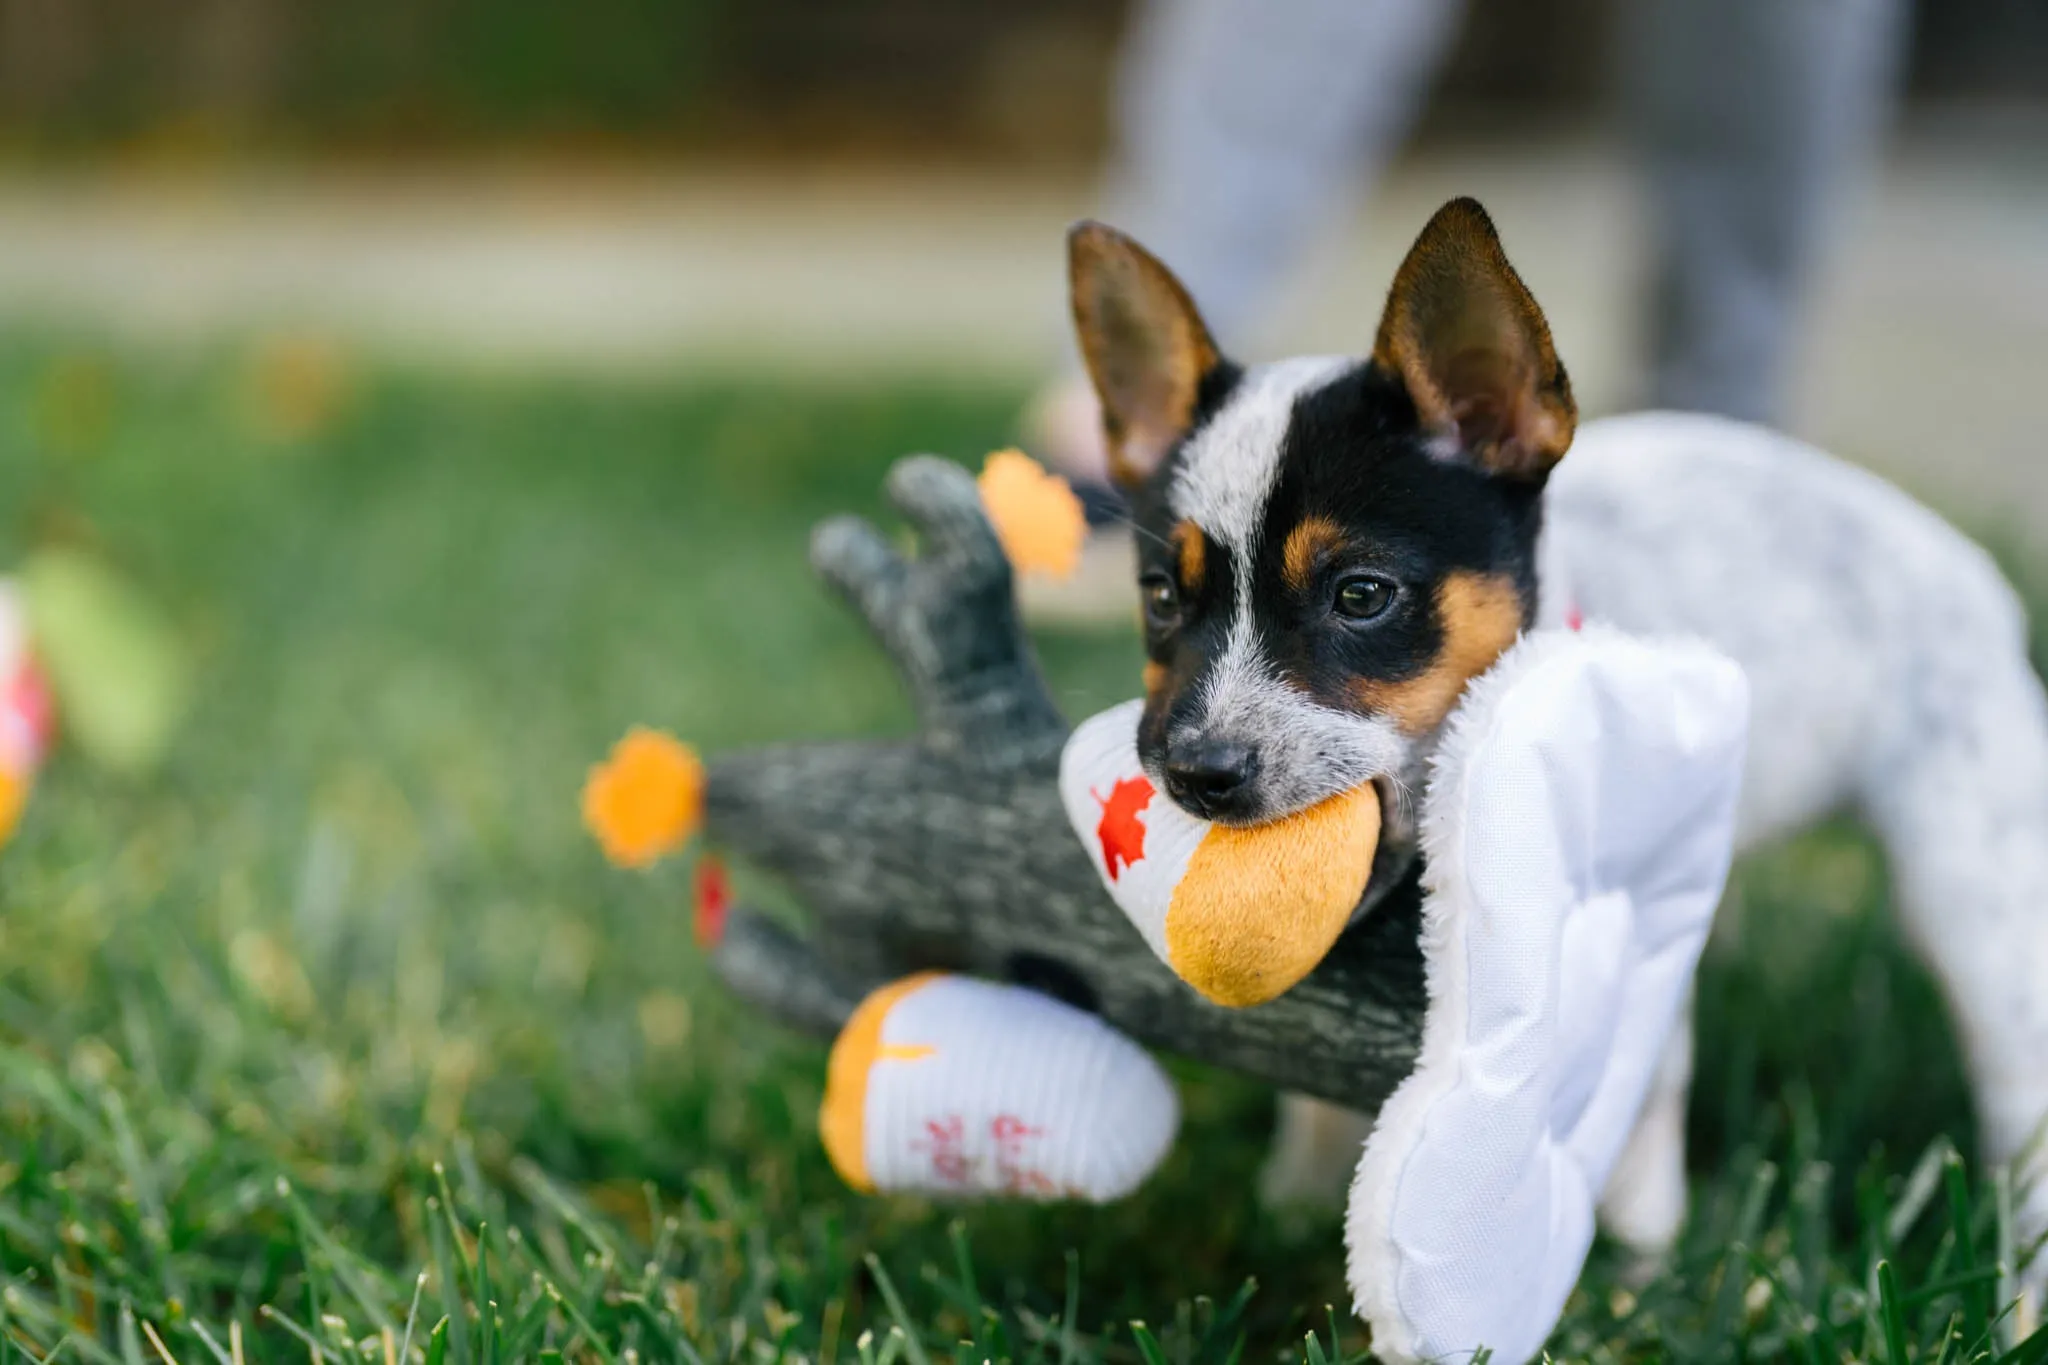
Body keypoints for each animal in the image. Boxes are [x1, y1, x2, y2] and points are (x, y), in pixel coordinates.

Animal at [1064, 197, 2048, 1285]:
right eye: (1161, 598)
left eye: (1361, 594)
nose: (1196, 773)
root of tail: (1971, 571)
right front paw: (1293, 1204)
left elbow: (1640, 1103)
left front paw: (1636, 1280)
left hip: (1973, 892)